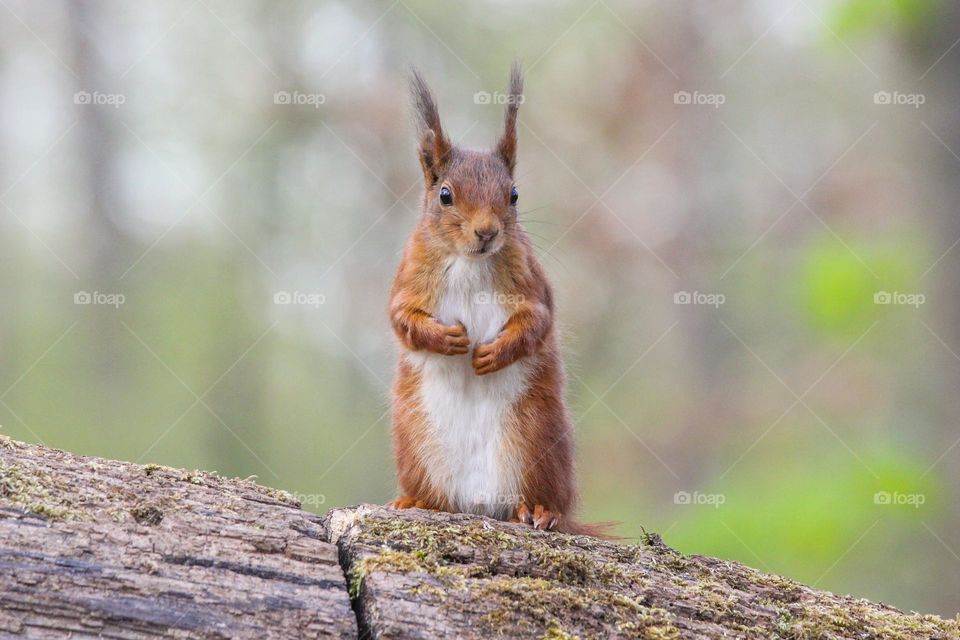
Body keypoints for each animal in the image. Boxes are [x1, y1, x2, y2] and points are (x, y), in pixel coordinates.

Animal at [388, 65, 600, 536]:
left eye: (514, 194)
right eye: (445, 195)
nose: (487, 232)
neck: (469, 261)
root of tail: (479, 504)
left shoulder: (532, 284)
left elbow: (537, 321)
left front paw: (493, 354)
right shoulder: (408, 278)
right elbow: (401, 318)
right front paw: (446, 340)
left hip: (536, 438)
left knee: (544, 497)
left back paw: (540, 511)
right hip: (416, 444)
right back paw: (417, 501)